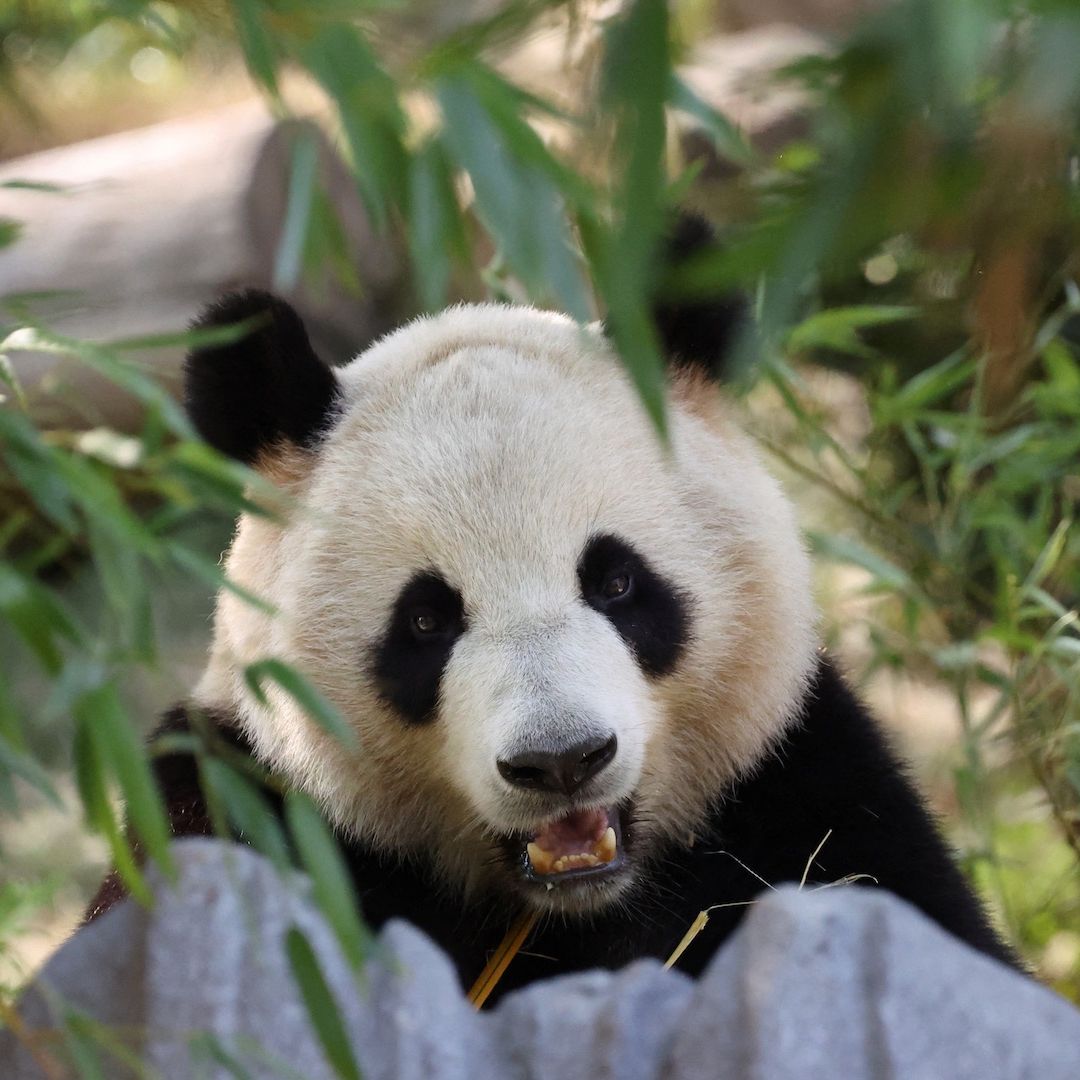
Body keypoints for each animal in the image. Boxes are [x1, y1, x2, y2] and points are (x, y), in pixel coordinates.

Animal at [90, 220, 1017, 1001]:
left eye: (616, 583)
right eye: (425, 621)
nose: (562, 760)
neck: (573, 904)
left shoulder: (804, 789)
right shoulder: (238, 809)